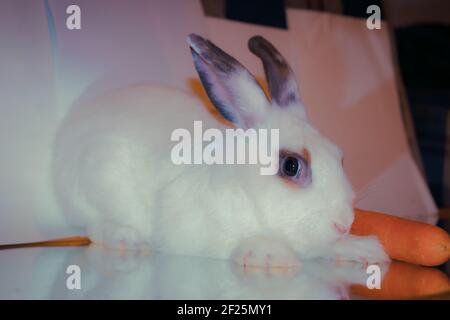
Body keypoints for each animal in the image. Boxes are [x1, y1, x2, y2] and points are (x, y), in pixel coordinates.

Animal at [52, 33, 388, 268]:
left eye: (340, 156)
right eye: (291, 166)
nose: (343, 223)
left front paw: (367, 249)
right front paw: (270, 254)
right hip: (98, 184)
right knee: (94, 228)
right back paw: (128, 239)